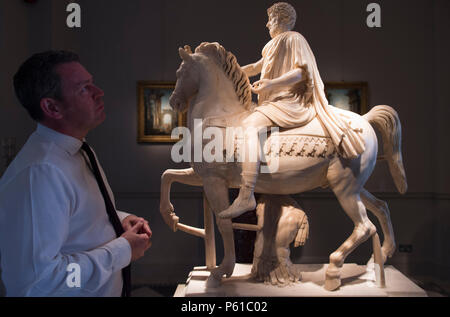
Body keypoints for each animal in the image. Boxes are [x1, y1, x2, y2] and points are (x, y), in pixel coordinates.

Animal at [162, 42, 408, 292]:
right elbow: (167, 176)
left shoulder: (214, 181)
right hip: (351, 185)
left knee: (364, 226)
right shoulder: (202, 175)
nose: (174, 102)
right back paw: (377, 263)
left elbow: (225, 224)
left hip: (345, 188)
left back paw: (334, 271)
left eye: (180, 72)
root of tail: (365, 120)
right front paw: (170, 217)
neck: (221, 119)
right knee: (381, 208)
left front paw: (220, 272)